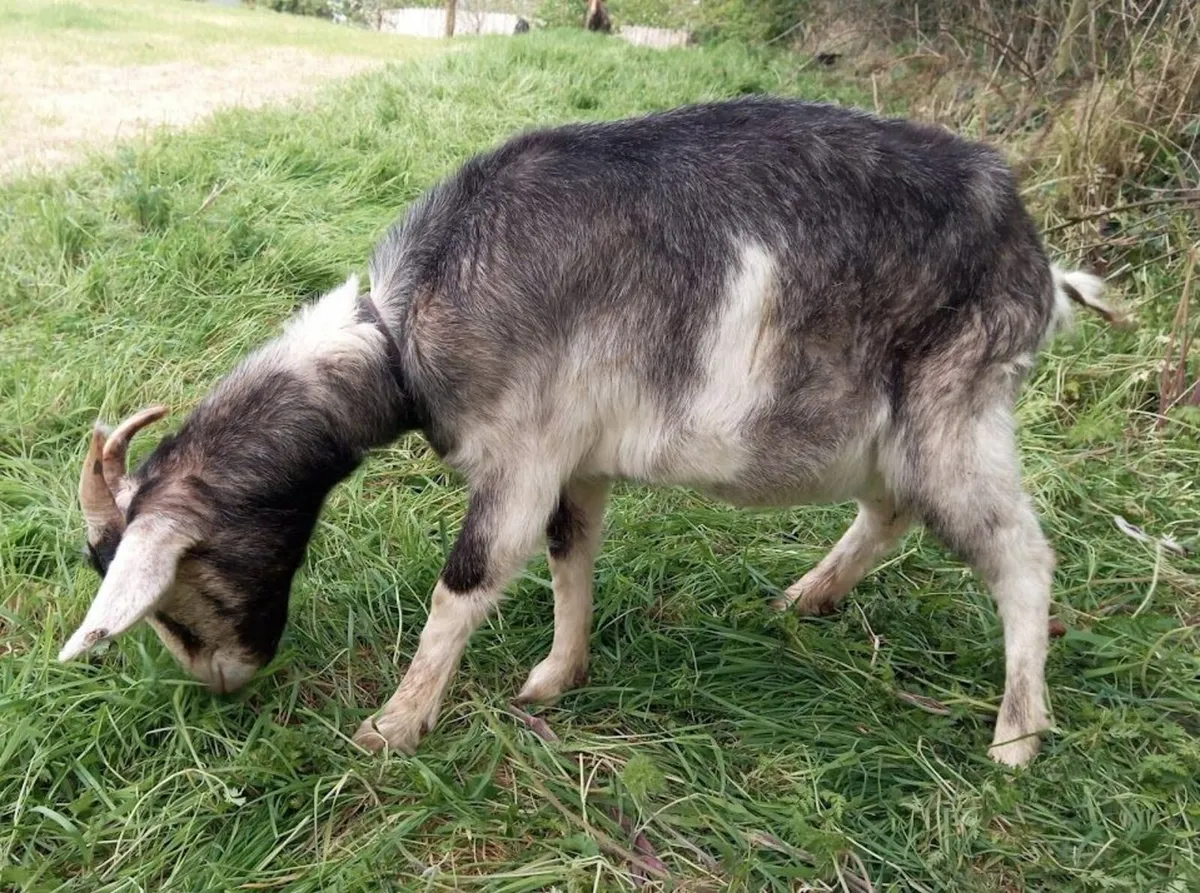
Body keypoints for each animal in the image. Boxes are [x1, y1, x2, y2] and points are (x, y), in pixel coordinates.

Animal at [60, 97, 1124, 766]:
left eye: (182, 584)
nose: (223, 681)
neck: (400, 336)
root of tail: (1042, 268)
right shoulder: (575, 458)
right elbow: (571, 553)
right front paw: (554, 677)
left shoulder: (521, 454)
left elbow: (468, 581)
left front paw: (393, 727)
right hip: (882, 427)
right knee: (892, 511)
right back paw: (811, 595)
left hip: (957, 410)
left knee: (1021, 557)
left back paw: (1017, 738)